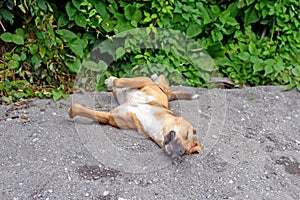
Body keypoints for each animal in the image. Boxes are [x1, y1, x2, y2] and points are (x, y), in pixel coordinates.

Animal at [68, 74, 202, 157]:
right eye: (187, 135)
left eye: (185, 152)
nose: (180, 151)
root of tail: (169, 94)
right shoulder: (144, 82)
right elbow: (121, 81)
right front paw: (112, 80)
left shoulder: (110, 117)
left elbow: (81, 109)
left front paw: (72, 111)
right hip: (152, 82)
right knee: (159, 77)